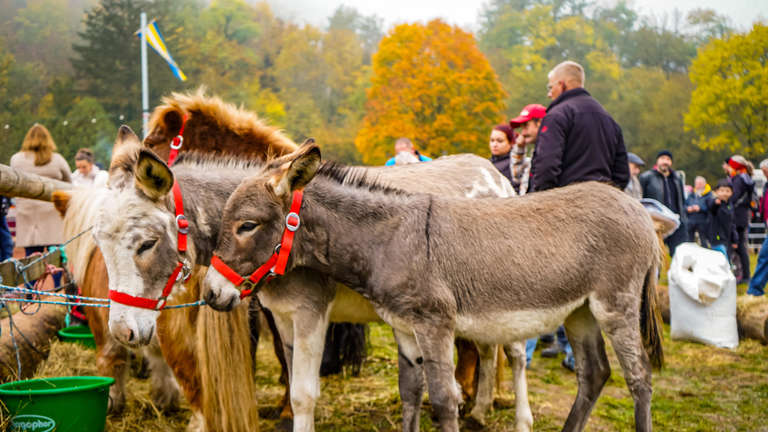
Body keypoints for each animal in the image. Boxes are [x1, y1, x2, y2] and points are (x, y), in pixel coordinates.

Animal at [85, 126, 534, 432]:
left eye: (146, 245)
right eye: (99, 241)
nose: (122, 332)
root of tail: (490, 172)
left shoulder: (310, 313)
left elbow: (304, 394)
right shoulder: (282, 316)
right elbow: (292, 384)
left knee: (513, 354)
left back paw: (519, 418)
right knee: (488, 349)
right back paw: (478, 411)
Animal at [204, 143, 665, 432]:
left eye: (246, 225)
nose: (209, 293)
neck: (391, 237)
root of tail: (637, 209)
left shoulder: (435, 325)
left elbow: (444, 399)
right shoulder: (405, 329)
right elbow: (411, 393)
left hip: (615, 306)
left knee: (639, 378)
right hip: (580, 312)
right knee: (595, 374)